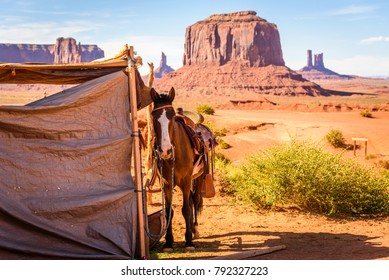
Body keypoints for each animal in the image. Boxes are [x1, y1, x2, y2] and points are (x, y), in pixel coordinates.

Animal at [149, 87, 203, 252]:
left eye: (172, 117)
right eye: (153, 117)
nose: (165, 150)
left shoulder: (186, 181)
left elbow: (185, 209)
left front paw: (189, 242)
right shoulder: (166, 184)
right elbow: (168, 211)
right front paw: (168, 243)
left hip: (195, 179)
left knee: (193, 200)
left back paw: (194, 231)